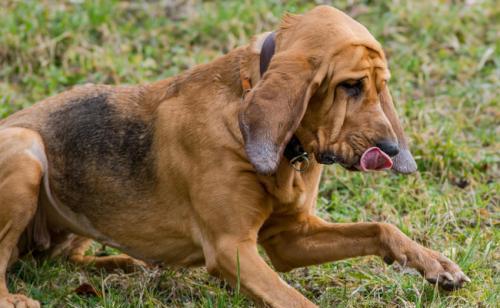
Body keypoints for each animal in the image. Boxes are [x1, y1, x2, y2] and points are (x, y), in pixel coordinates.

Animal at [0, 5, 468, 308]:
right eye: (350, 86)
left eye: (380, 85)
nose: (391, 151)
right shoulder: (232, 250)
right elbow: (295, 301)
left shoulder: (291, 239)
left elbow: (380, 228)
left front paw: (435, 264)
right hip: (27, 151)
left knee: (65, 256)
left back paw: (124, 263)